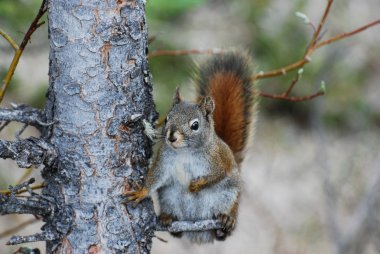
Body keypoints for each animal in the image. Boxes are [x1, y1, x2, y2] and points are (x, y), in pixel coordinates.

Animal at [126, 50, 256, 243]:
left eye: (195, 125)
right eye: (167, 118)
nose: (171, 137)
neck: (185, 152)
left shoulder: (218, 162)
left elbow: (216, 175)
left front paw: (196, 185)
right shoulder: (163, 161)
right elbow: (155, 177)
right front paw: (141, 192)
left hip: (230, 194)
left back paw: (227, 221)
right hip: (169, 197)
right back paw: (167, 218)